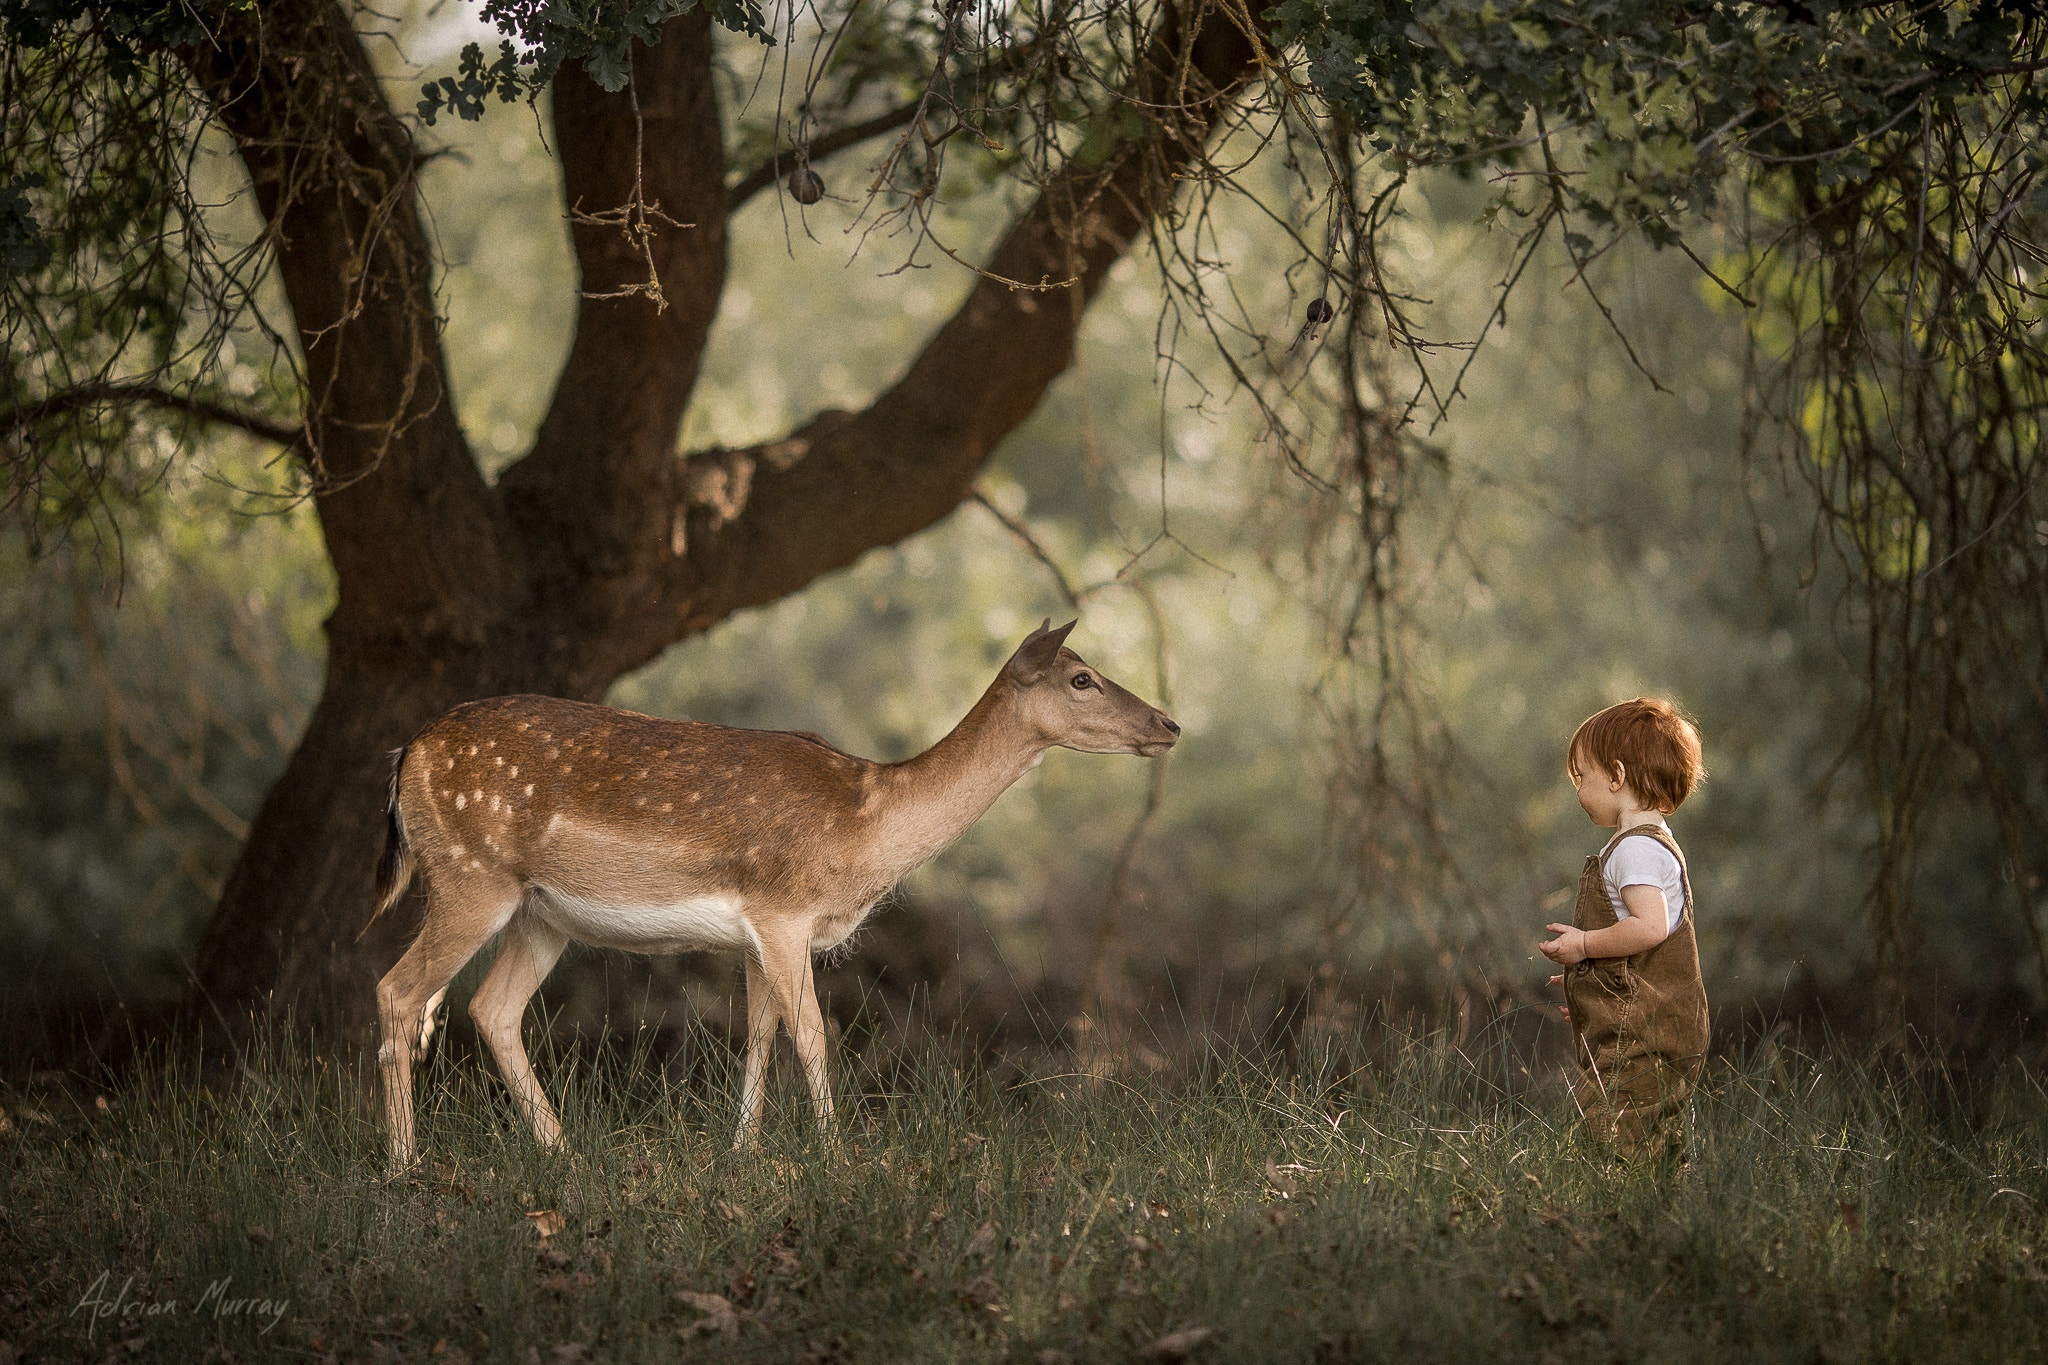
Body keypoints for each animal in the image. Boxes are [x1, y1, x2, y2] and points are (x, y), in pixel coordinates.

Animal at [360, 626, 1179, 1170]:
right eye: (1081, 677)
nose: (1169, 723)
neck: (866, 824)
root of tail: (404, 757)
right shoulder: (785, 912)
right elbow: (814, 1033)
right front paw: (838, 1159)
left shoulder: (755, 933)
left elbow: (759, 1034)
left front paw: (744, 1154)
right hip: (471, 876)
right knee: (399, 989)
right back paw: (404, 1166)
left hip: (540, 912)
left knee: (490, 1007)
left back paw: (563, 1153)